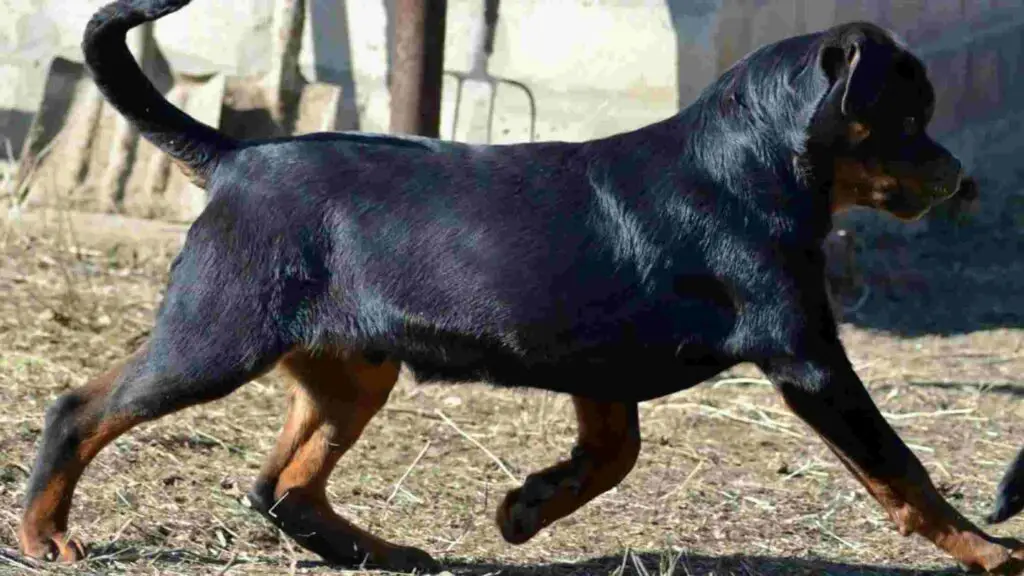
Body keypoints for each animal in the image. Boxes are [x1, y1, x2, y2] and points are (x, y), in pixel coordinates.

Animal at [19, 0, 1019, 569]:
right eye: (911, 117)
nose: (959, 178)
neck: (752, 163)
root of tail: (235, 156)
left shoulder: (603, 374)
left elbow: (613, 456)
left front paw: (526, 508)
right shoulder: (809, 358)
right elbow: (900, 467)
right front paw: (985, 549)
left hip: (351, 369)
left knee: (282, 488)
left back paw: (386, 554)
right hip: (217, 335)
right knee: (82, 408)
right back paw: (43, 535)